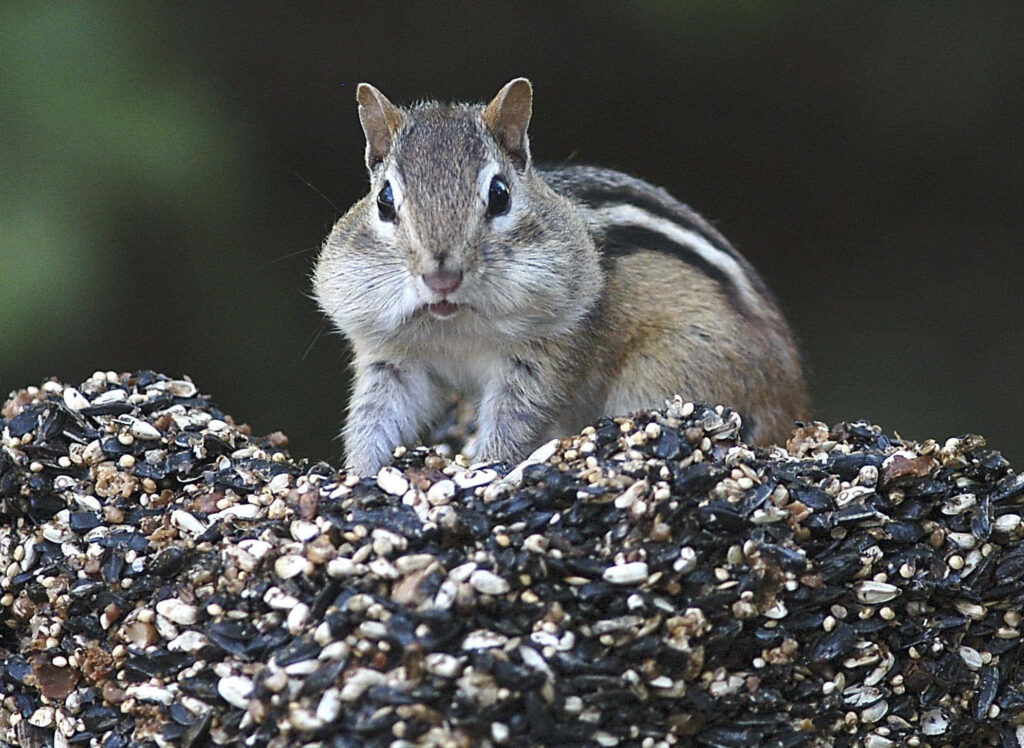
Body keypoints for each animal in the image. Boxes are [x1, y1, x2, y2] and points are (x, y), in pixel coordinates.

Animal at [313, 78, 809, 476]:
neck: (456, 328)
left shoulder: (546, 350)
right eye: (384, 201)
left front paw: (484, 469)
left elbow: (516, 416)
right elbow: (376, 416)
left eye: (500, 194)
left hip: (672, 372)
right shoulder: (392, 359)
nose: (443, 279)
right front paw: (359, 475)